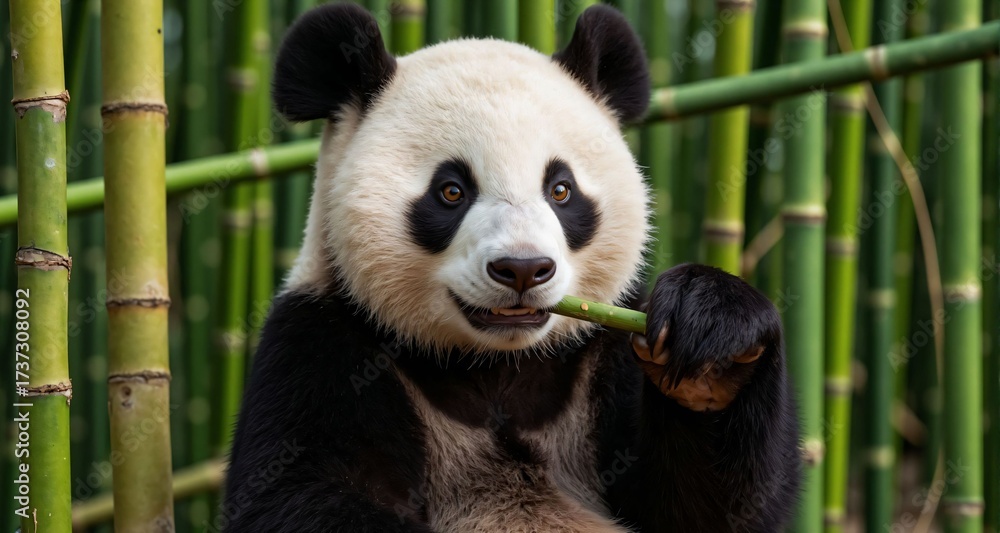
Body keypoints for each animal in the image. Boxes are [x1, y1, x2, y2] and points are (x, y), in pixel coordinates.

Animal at [223, 3, 801, 532]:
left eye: (561, 189)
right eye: (451, 191)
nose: (523, 269)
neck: (496, 363)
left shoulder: (603, 345)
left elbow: (709, 509)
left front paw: (713, 341)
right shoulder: (319, 341)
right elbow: (299, 496)